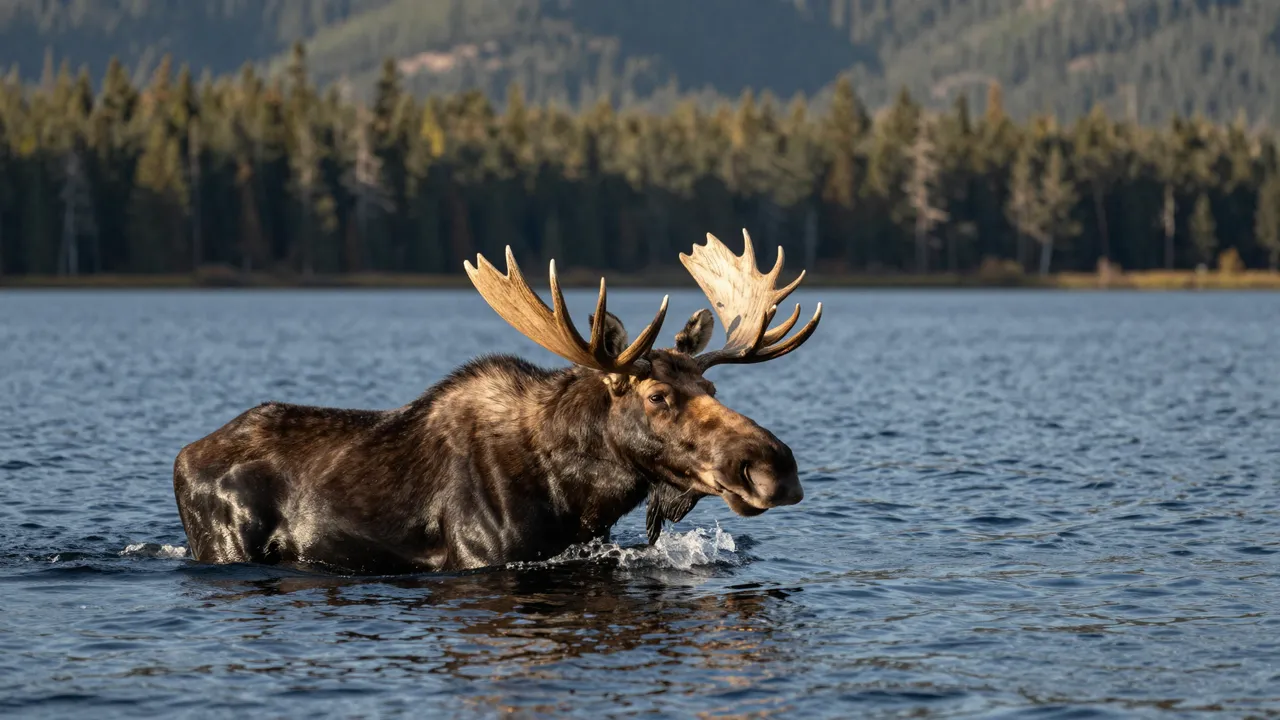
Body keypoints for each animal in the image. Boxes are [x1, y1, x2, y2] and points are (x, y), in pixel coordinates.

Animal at [172, 230, 823, 575]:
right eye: (658, 395)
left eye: (712, 390)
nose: (775, 466)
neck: (576, 495)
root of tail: (181, 457)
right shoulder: (480, 557)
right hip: (225, 544)